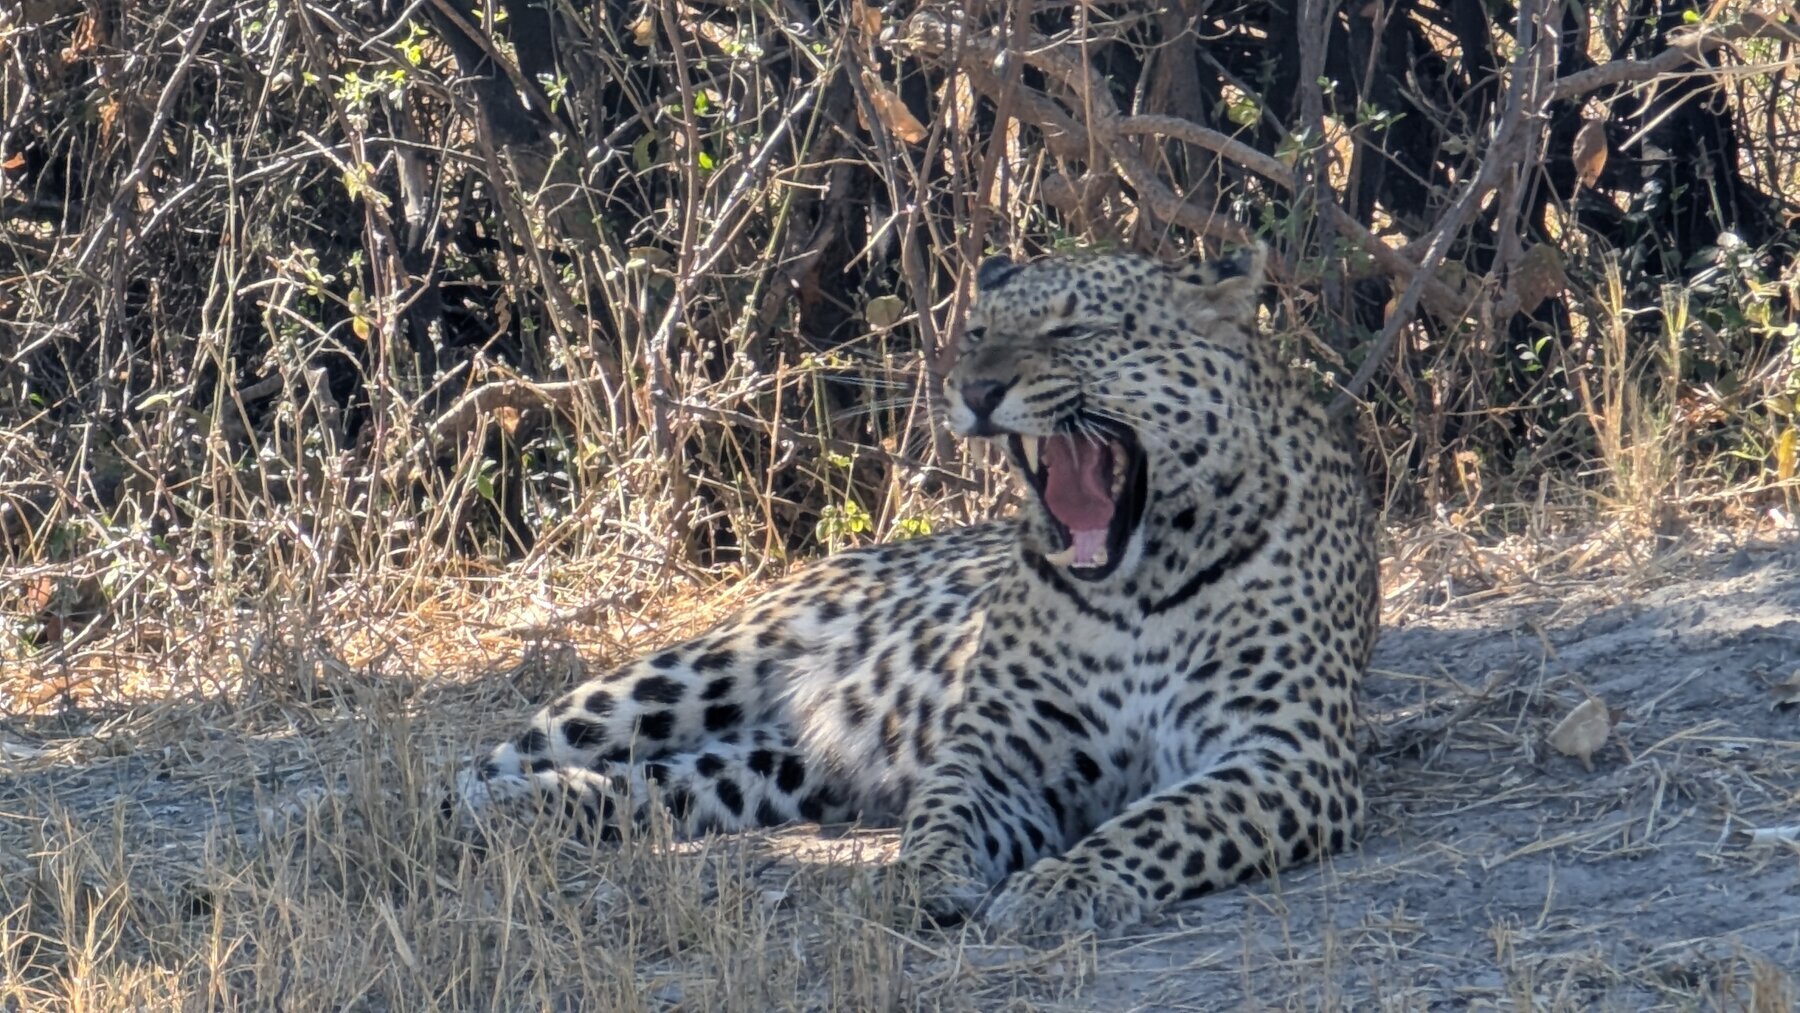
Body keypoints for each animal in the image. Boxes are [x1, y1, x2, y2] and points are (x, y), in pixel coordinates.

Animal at [450, 242, 1379, 940]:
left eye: (1075, 328)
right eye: (978, 333)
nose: (975, 390)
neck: (1136, 584)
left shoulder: (1283, 752)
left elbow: (1163, 820)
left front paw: (1062, 885)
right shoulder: (999, 751)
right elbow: (944, 814)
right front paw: (921, 879)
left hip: (770, 771)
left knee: (644, 785)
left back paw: (516, 810)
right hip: (686, 673)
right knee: (507, 752)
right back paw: (463, 807)